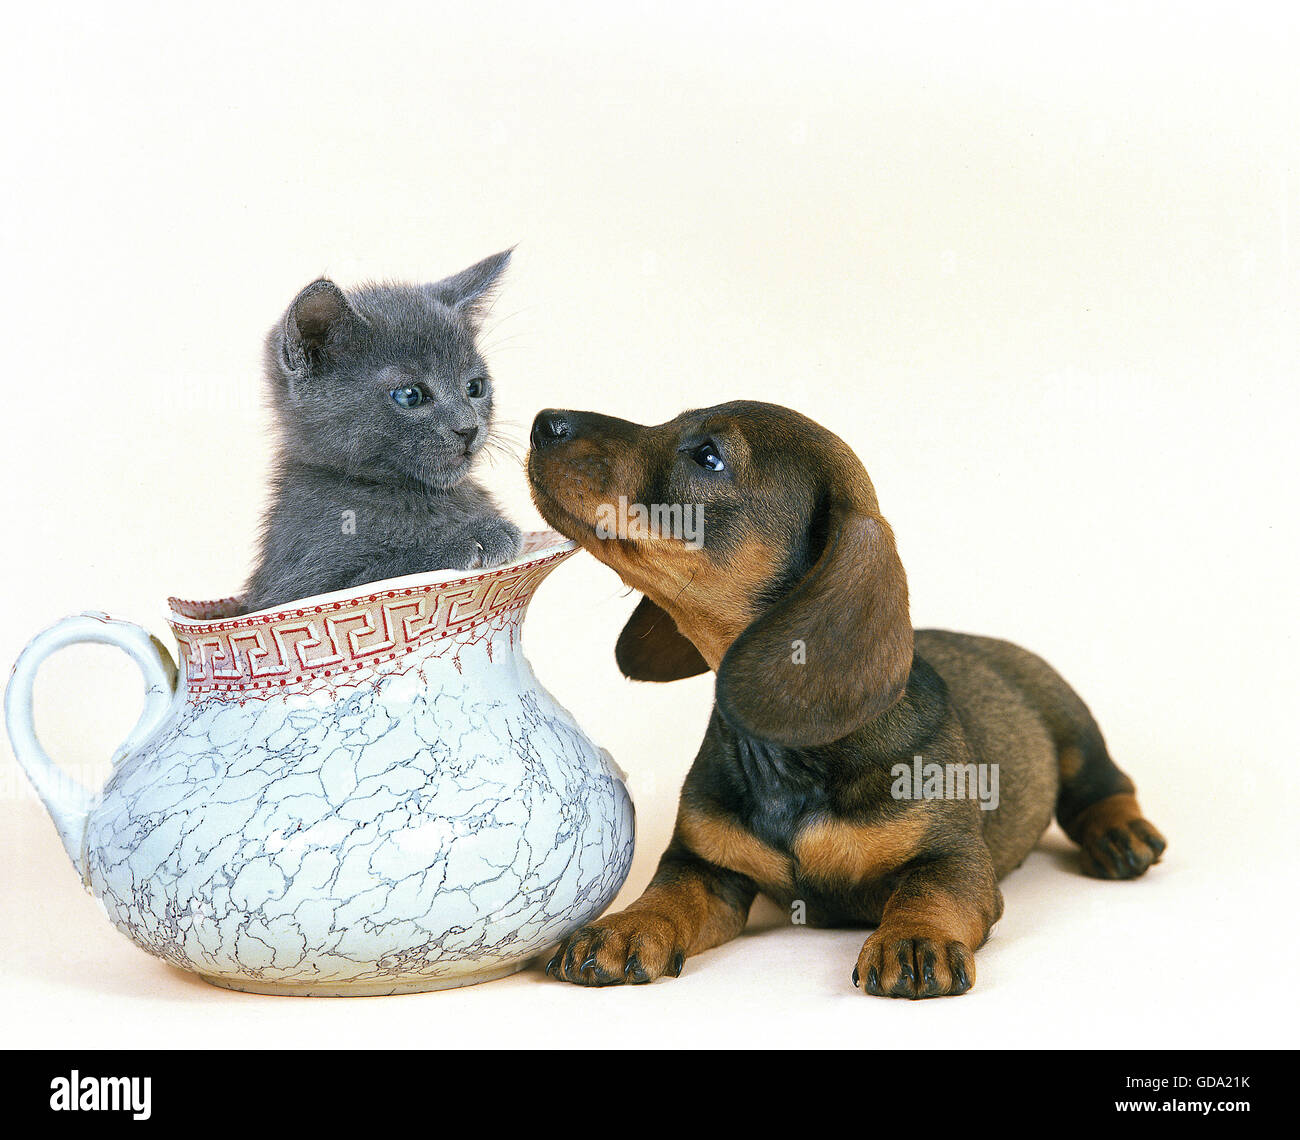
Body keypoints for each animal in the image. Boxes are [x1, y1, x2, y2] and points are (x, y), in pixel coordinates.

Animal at [244, 249, 522, 613]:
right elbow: (385, 571)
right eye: (409, 395)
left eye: (475, 387)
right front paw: (465, 538)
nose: (468, 428)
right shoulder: (298, 586)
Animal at [527, 402, 1170, 998]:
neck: (790, 758)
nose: (544, 422)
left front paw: (913, 939)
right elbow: (668, 895)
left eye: (709, 456)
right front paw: (625, 927)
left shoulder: (954, 860)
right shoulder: (706, 864)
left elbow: (928, 892)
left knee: (1105, 787)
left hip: (1074, 730)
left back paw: (1120, 834)